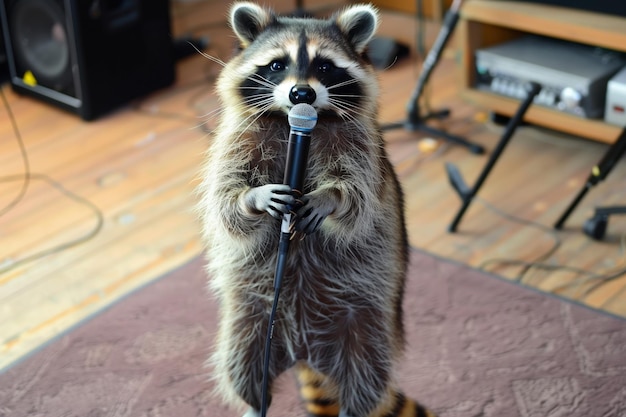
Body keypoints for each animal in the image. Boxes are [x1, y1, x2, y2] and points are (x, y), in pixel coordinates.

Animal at [197, 3, 436, 416]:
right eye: (277, 64)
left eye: (324, 66)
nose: (301, 93)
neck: (291, 122)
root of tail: (305, 354)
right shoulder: (236, 140)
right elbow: (226, 199)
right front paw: (253, 198)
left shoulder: (361, 147)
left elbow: (357, 197)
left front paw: (330, 198)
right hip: (250, 322)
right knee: (242, 365)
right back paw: (252, 402)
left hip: (368, 326)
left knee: (366, 375)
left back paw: (354, 405)